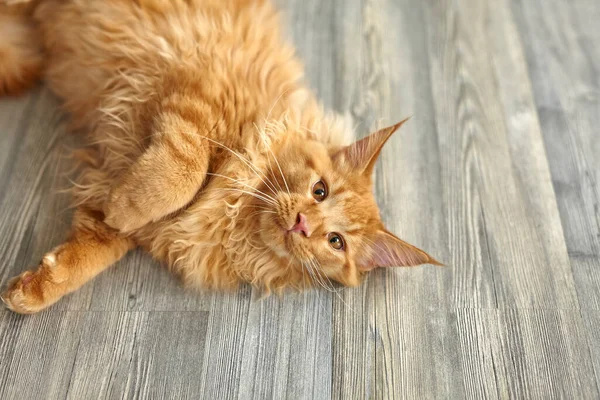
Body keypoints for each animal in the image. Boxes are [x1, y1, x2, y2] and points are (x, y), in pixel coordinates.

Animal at [0, 0, 440, 314]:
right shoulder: (198, 88)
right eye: (320, 190)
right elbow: (181, 175)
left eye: (335, 242)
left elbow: (94, 249)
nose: (302, 224)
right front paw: (126, 206)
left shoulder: (121, 198)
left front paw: (33, 289)